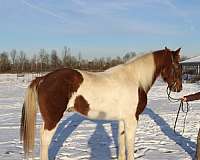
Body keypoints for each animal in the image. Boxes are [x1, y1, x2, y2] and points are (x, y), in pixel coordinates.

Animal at [20, 47, 183, 159]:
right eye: (176, 65)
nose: (179, 88)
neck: (135, 79)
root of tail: (42, 78)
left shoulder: (123, 120)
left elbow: (121, 143)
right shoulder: (132, 119)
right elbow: (129, 146)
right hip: (52, 120)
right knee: (45, 142)